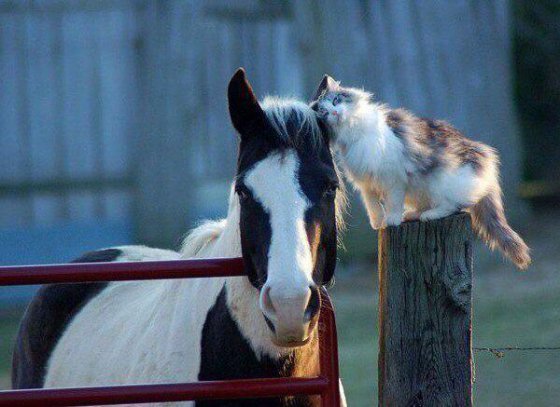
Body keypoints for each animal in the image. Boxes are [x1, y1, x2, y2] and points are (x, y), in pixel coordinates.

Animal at [310, 75, 532, 270]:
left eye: (336, 100)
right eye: (323, 113)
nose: (334, 113)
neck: (353, 134)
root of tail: (487, 164)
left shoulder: (393, 179)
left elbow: (392, 202)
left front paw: (391, 220)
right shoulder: (366, 184)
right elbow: (373, 207)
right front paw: (379, 223)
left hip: (441, 181)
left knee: (454, 205)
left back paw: (428, 215)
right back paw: (412, 214)